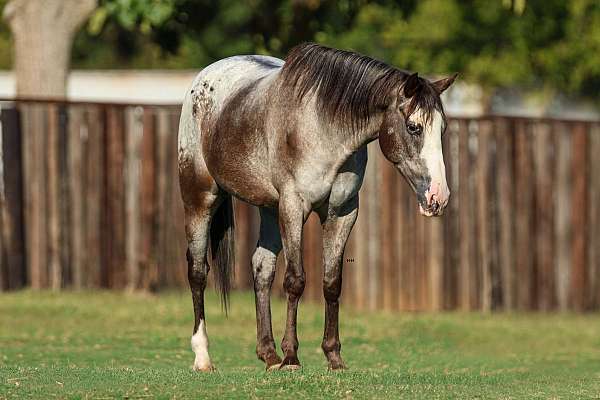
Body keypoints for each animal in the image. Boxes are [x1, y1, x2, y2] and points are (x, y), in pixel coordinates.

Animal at [177, 43, 454, 372]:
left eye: (442, 130)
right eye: (414, 127)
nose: (439, 196)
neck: (324, 128)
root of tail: (204, 78)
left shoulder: (342, 213)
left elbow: (332, 283)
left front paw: (333, 356)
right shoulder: (294, 207)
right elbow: (296, 281)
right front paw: (292, 357)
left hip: (270, 209)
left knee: (262, 269)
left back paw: (268, 355)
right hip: (200, 198)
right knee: (197, 271)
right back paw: (203, 356)